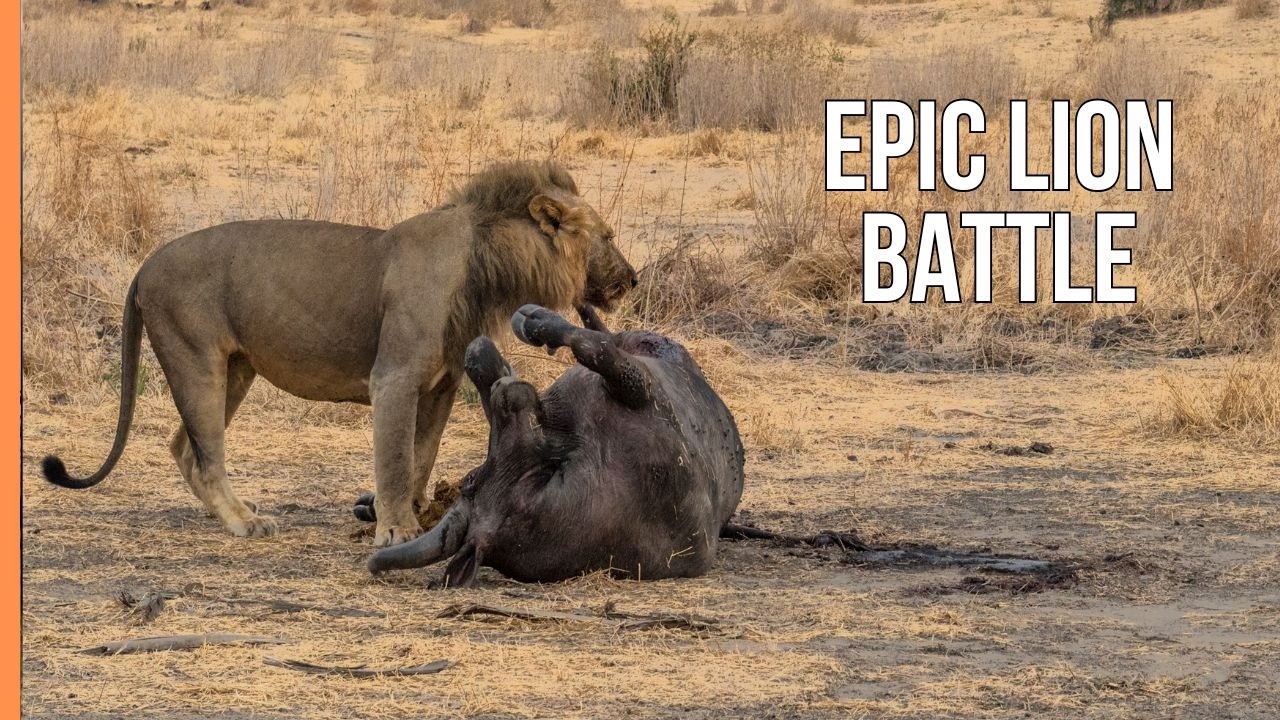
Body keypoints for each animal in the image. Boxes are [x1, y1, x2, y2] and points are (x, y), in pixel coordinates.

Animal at [41, 161, 636, 547]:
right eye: (607, 237)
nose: (633, 279)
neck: (487, 263)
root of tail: (143, 266)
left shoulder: (440, 387)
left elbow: (421, 456)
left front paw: (411, 512)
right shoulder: (394, 378)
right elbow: (395, 457)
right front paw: (395, 529)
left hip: (235, 370)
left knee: (183, 447)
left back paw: (233, 513)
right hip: (196, 359)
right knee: (206, 455)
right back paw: (244, 522)